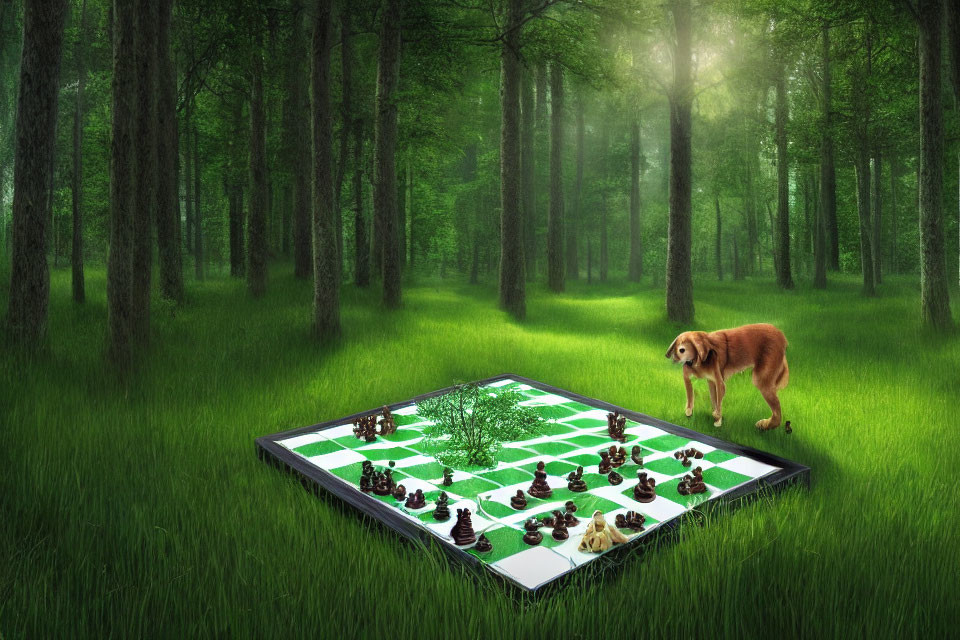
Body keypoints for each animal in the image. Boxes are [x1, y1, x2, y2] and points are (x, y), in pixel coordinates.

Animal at [664, 324, 792, 430]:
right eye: (674, 350)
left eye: (682, 350)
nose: (673, 359)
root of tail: (783, 338)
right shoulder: (710, 381)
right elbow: (712, 400)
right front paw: (699, 412)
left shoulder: (720, 383)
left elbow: (718, 402)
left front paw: (717, 420)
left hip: (761, 380)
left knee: (777, 413)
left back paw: (765, 425)